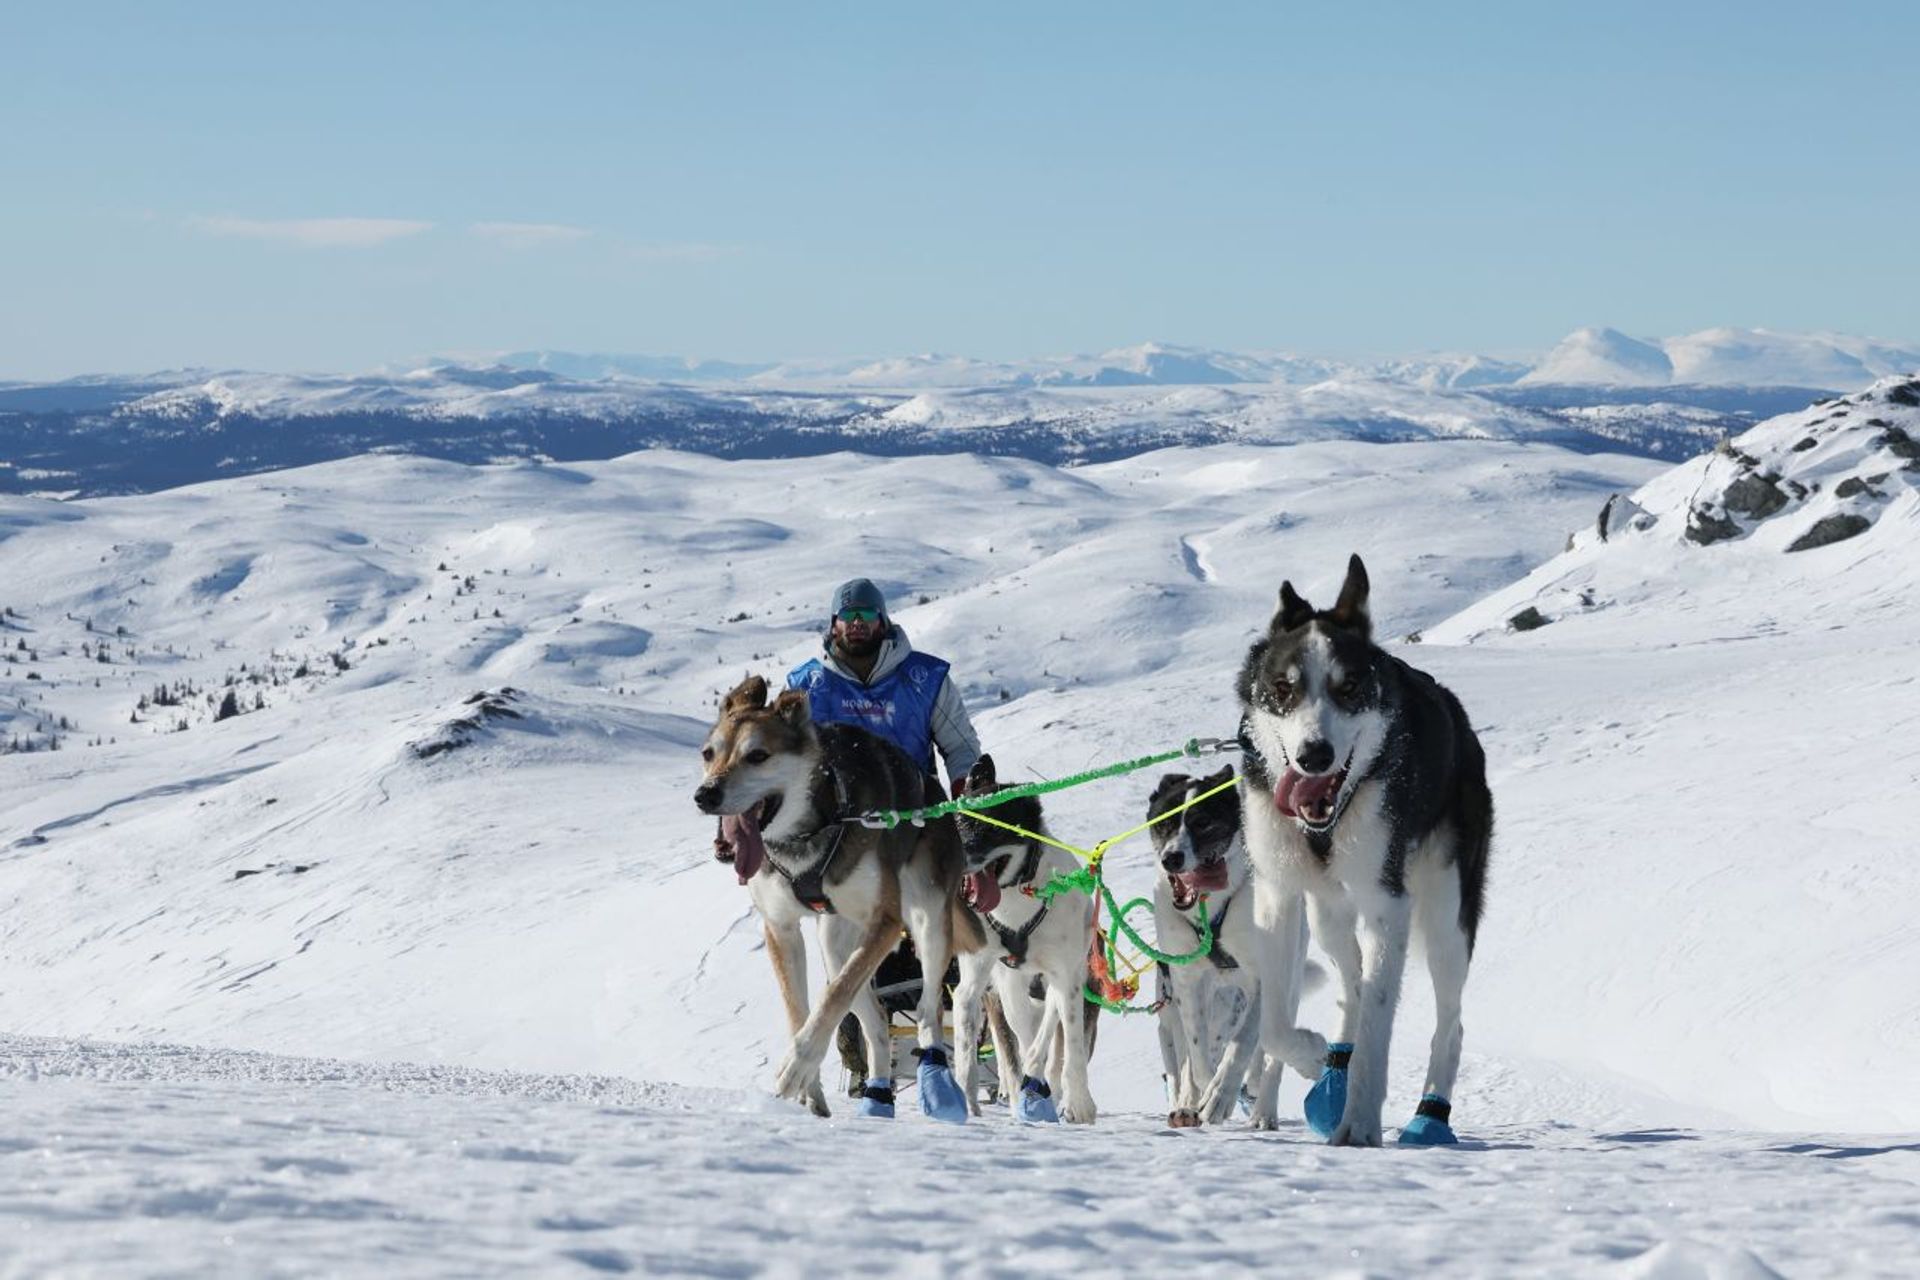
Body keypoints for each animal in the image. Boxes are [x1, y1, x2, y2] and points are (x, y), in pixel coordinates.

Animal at [698, 675, 983, 1128]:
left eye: (757, 755)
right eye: (709, 753)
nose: (705, 794)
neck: (817, 823)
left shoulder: (885, 922)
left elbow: (832, 1000)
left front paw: (794, 1067)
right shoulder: (781, 929)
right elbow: (801, 1010)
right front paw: (809, 1089)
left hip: (929, 920)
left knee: (928, 1010)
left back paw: (938, 1082)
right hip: (835, 943)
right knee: (876, 1023)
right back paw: (878, 1097)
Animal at [944, 756, 1098, 1128]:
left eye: (992, 828)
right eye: (958, 822)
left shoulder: (1067, 977)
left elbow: (1070, 1046)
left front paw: (1079, 1103)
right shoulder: (981, 978)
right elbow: (975, 1043)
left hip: (1066, 976)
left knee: (1049, 1033)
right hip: (1009, 986)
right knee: (1023, 1038)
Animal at [1152, 767, 1320, 1128]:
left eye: (1203, 822)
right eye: (1164, 823)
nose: (1171, 858)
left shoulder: (1264, 979)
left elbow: (1244, 1044)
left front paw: (1221, 1094)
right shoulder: (1187, 982)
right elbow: (1197, 1056)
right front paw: (1200, 1093)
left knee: (1272, 1052)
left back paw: (1264, 1107)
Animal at [1236, 556, 1489, 1143]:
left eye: (1349, 687)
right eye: (1283, 689)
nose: (1315, 754)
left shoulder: (1386, 903)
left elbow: (1379, 1017)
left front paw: (1359, 1124)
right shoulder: (1277, 895)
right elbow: (1276, 1022)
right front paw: (1310, 1055)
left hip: (1445, 915)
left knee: (1451, 1023)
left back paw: (1429, 1116)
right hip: (1325, 912)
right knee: (1349, 979)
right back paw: (1333, 1064)